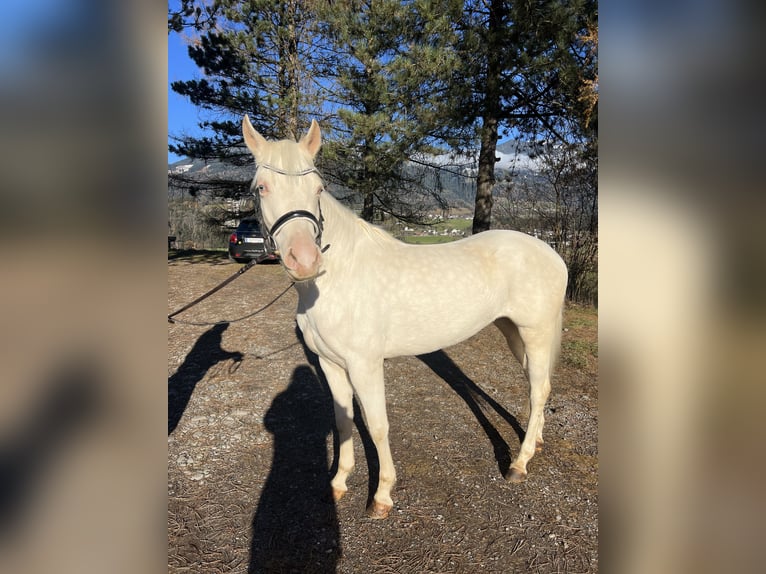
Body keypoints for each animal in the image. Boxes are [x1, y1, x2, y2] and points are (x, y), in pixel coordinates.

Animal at [243, 117, 568, 520]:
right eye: (262, 187)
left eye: (318, 187)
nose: (304, 260)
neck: (337, 277)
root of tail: (551, 253)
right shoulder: (330, 364)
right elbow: (343, 420)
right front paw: (338, 484)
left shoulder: (364, 365)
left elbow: (377, 425)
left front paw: (382, 495)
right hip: (514, 332)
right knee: (538, 385)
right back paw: (535, 442)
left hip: (536, 332)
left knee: (539, 390)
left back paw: (519, 464)